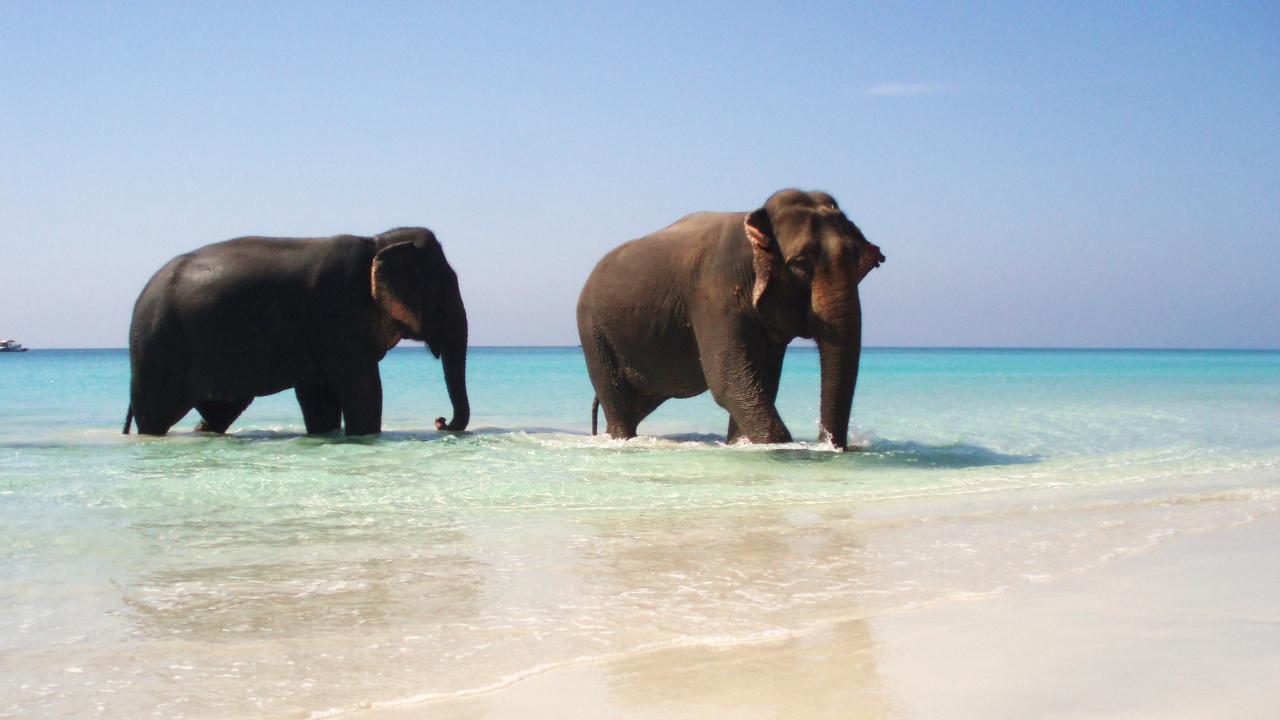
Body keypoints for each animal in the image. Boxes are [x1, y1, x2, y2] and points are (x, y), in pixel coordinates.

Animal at [123, 227, 469, 436]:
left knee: (221, 411)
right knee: (156, 416)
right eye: (442, 293)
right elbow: (362, 388)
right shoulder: (335, 313)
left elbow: (319, 397)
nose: (440, 421)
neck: (377, 241)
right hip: (157, 348)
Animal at [577, 189, 883, 450]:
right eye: (801, 265)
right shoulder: (713, 295)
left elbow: (761, 383)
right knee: (618, 401)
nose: (828, 444)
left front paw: (739, 444)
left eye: (858, 261)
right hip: (593, 332)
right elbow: (728, 381)